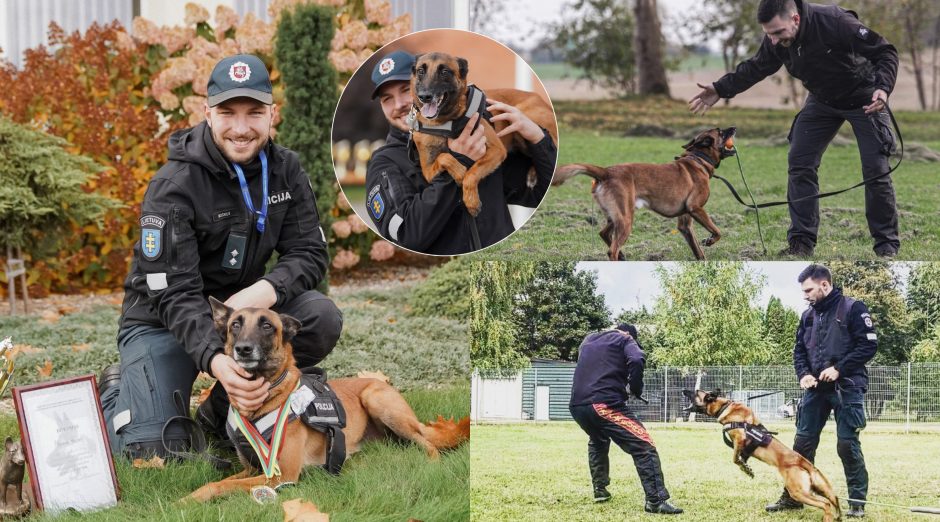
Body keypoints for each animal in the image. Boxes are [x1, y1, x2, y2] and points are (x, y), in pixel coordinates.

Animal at [185, 296, 474, 500]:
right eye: (236, 324)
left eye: (267, 325)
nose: (243, 349)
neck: (262, 401)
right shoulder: (252, 469)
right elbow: (219, 482)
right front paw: (188, 498)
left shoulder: (281, 475)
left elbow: (218, 486)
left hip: (377, 400)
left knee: (429, 445)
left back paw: (430, 466)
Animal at [412, 51, 560, 215]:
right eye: (420, 71)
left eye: (444, 71)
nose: (425, 96)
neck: (446, 123)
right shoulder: (428, 171)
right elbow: (444, 157)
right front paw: (459, 171)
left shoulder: (497, 150)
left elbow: (472, 173)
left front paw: (471, 200)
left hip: (522, 121)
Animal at [556, 126, 740, 260]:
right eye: (721, 132)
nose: (734, 127)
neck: (698, 158)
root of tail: (606, 172)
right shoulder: (695, 208)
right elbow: (717, 231)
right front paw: (710, 240)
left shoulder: (685, 224)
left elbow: (698, 252)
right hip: (626, 219)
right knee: (612, 250)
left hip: (617, 216)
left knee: (604, 234)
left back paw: (623, 256)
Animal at [680, 388, 840, 516]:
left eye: (696, 392)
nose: (683, 390)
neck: (724, 406)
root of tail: (802, 461)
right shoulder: (743, 447)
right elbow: (741, 458)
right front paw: (747, 468)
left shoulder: (740, 438)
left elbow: (735, 459)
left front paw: (746, 469)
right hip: (813, 488)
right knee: (833, 499)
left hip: (798, 491)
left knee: (825, 504)